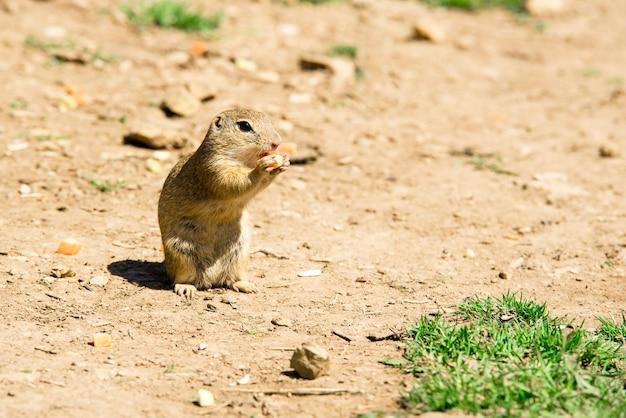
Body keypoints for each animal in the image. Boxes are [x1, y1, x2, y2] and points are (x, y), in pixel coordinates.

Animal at [158, 108, 290, 298]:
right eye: (244, 126)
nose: (276, 143)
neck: (244, 161)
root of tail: (211, 279)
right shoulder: (213, 169)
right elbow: (236, 183)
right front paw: (261, 168)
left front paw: (283, 163)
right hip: (182, 255)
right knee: (180, 279)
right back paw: (186, 288)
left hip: (239, 254)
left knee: (231, 279)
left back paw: (245, 285)